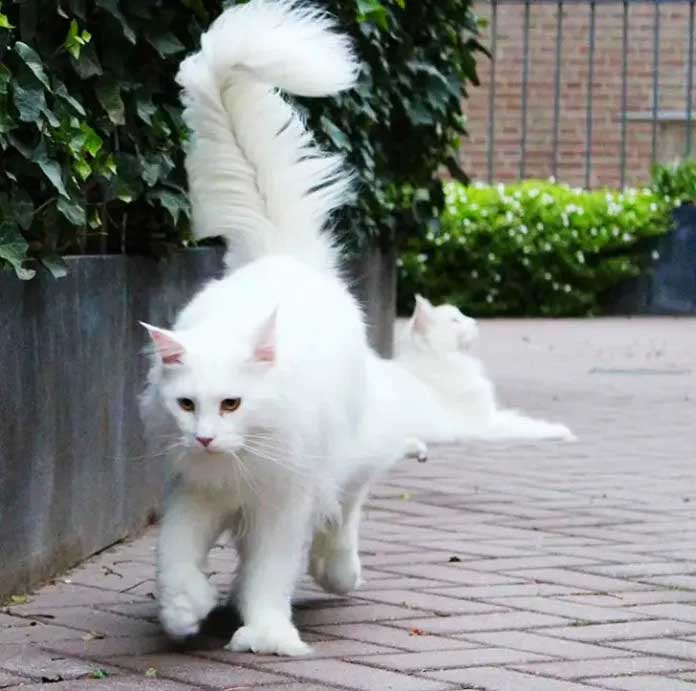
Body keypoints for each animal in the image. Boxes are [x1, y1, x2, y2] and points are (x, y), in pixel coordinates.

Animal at [140, 0, 452, 660]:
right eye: (187, 405)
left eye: (232, 403)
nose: (206, 437)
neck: (240, 461)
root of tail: (283, 256)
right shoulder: (195, 493)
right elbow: (174, 557)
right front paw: (185, 610)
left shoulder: (282, 502)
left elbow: (269, 571)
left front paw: (264, 634)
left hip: (351, 452)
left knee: (347, 507)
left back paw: (339, 572)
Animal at [394, 294, 572, 440]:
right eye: (455, 320)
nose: (476, 322)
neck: (437, 360)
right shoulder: (484, 425)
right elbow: (528, 428)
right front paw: (561, 431)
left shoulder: (491, 416)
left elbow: (523, 419)